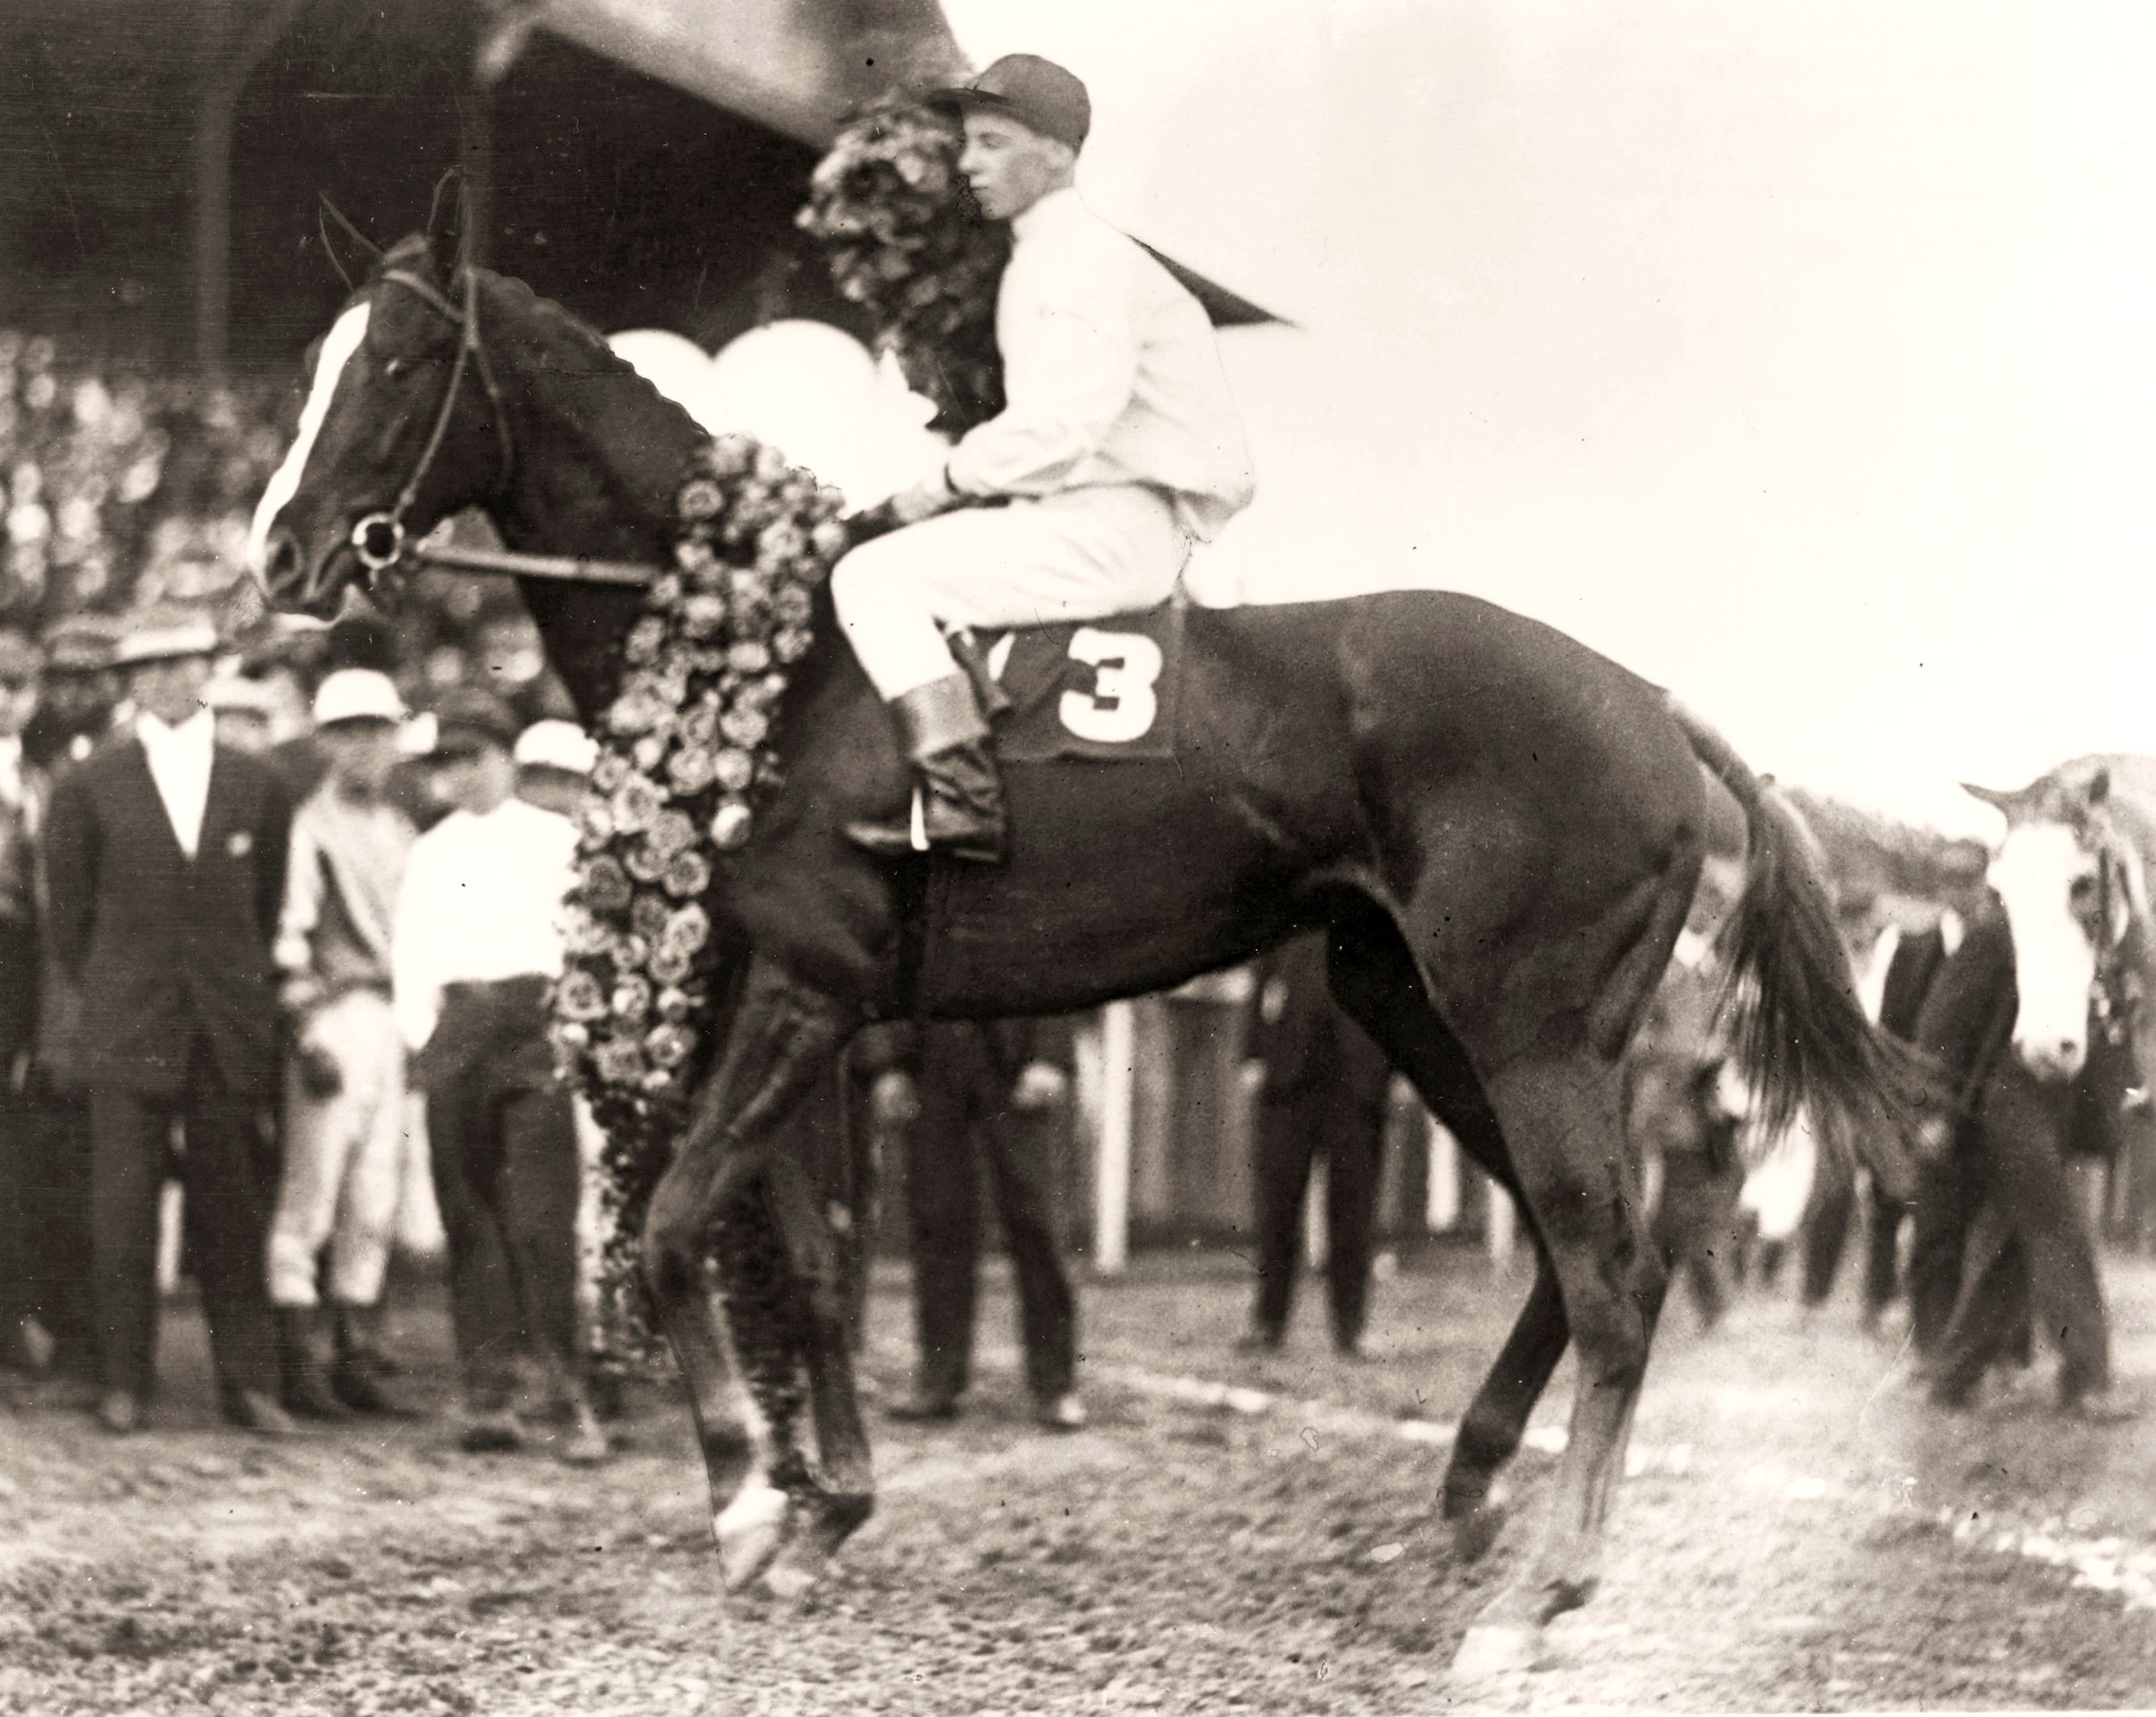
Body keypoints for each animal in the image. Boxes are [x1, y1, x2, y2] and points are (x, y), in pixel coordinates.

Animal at [244, 227, 1914, 1671]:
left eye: (391, 363)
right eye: (316, 357)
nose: (279, 554)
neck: (763, 655)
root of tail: (1649, 700)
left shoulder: (803, 989)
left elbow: (667, 1225)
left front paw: (744, 1504)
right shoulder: (801, 1006)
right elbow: (807, 1257)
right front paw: (825, 1507)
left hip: (1525, 1027)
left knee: (1612, 1270)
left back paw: (1538, 1592)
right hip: (1418, 1008)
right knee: (1582, 1257)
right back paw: (1468, 1484)